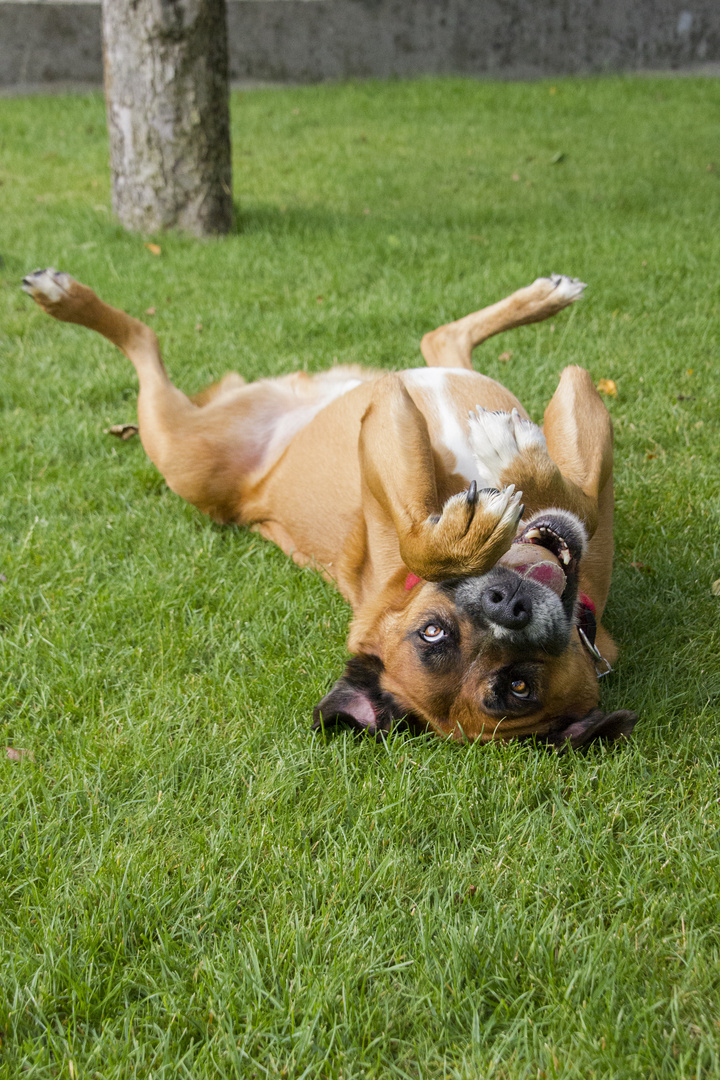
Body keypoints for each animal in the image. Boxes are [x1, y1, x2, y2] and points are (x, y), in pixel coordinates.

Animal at [22, 267, 634, 751]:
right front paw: (489, 494)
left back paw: (544, 298)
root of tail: (253, 497)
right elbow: (439, 527)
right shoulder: (388, 419)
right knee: (144, 340)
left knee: (440, 339)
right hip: (182, 451)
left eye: (519, 686)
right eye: (434, 633)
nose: (507, 604)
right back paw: (64, 299)